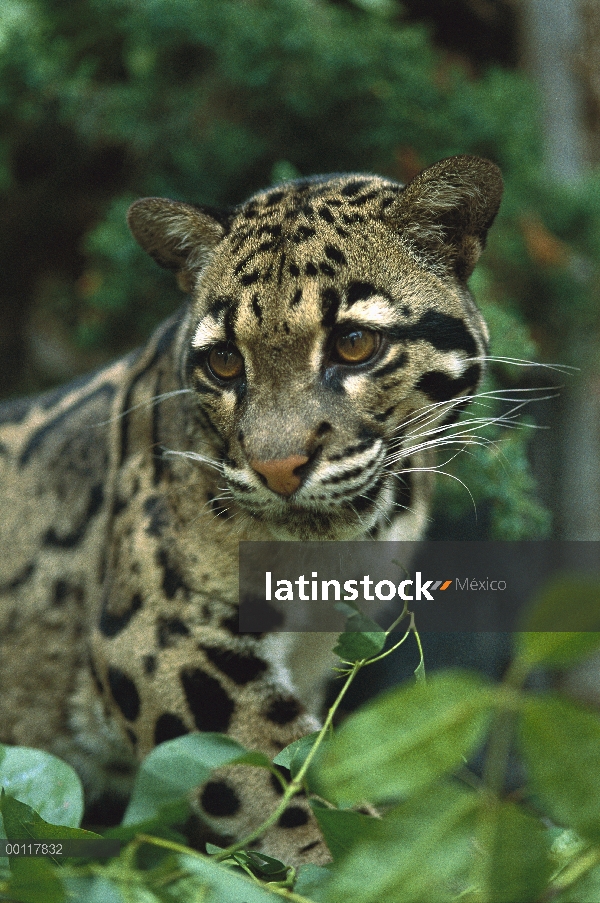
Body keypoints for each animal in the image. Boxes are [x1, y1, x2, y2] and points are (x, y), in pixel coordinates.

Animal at [0, 154, 502, 860]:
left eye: (353, 344)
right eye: (224, 361)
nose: (278, 467)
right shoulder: (160, 636)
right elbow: (277, 779)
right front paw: (346, 859)